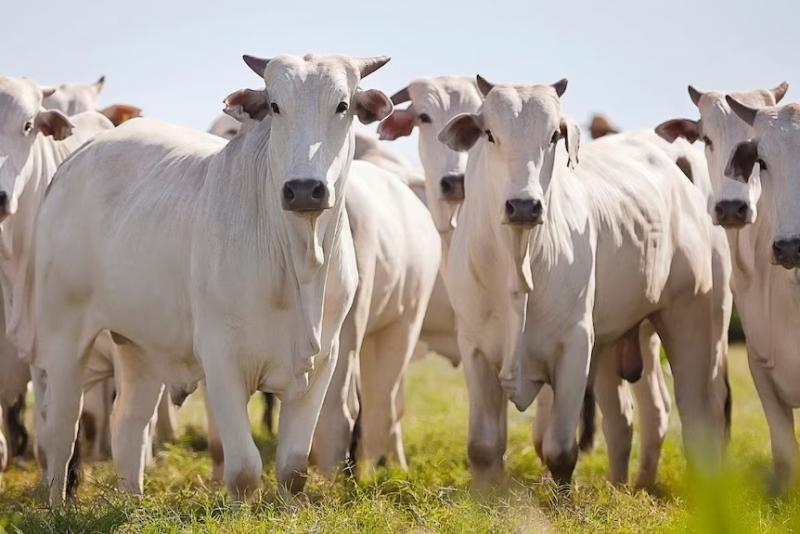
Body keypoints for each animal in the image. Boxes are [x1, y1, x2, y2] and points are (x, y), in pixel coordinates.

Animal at [31, 51, 394, 506]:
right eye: (275, 106)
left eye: (342, 105)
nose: (304, 189)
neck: (299, 259)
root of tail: (76, 160)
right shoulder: (221, 359)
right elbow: (244, 469)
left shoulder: (322, 361)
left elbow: (293, 469)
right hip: (62, 333)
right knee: (60, 428)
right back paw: (56, 506)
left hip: (139, 344)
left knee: (128, 421)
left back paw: (133, 503)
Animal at [438, 78, 732, 486]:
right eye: (490, 134)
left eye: (553, 136)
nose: (524, 205)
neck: (517, 263)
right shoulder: (475, 348)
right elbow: (483, 449)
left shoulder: (576, 345)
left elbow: (560, 451)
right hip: (620, 340)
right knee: (631, 418)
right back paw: (628, 486)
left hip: (694, 318)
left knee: (698, 413)